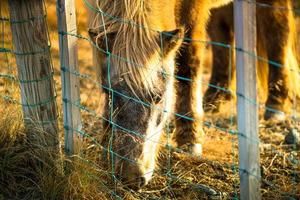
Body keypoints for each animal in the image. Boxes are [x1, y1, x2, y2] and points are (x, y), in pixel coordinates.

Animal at [86, 0, 232, 189]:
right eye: (109, 92)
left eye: (159, 97)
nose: (131, 176)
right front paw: (106, 139)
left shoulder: (194, 10)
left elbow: (188, 63)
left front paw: (190, 139)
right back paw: (218, 97)